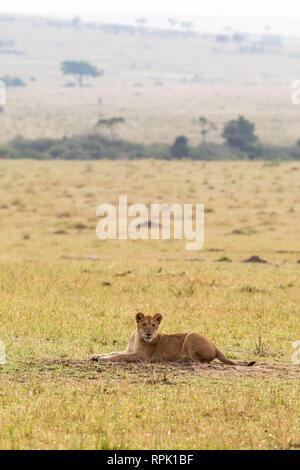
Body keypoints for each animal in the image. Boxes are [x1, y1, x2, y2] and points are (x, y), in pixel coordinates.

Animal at [89, 312, 255, 368]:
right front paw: (96, 356)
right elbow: (113, 351)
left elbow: (118, 356)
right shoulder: (129, 350)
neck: (137, 336)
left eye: (154, 325)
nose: (148, 334)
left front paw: (103, 360)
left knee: (199, 360)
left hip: (191, 335)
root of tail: (216, 347)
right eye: (144, 324)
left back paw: (182, 360)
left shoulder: (140, 356)